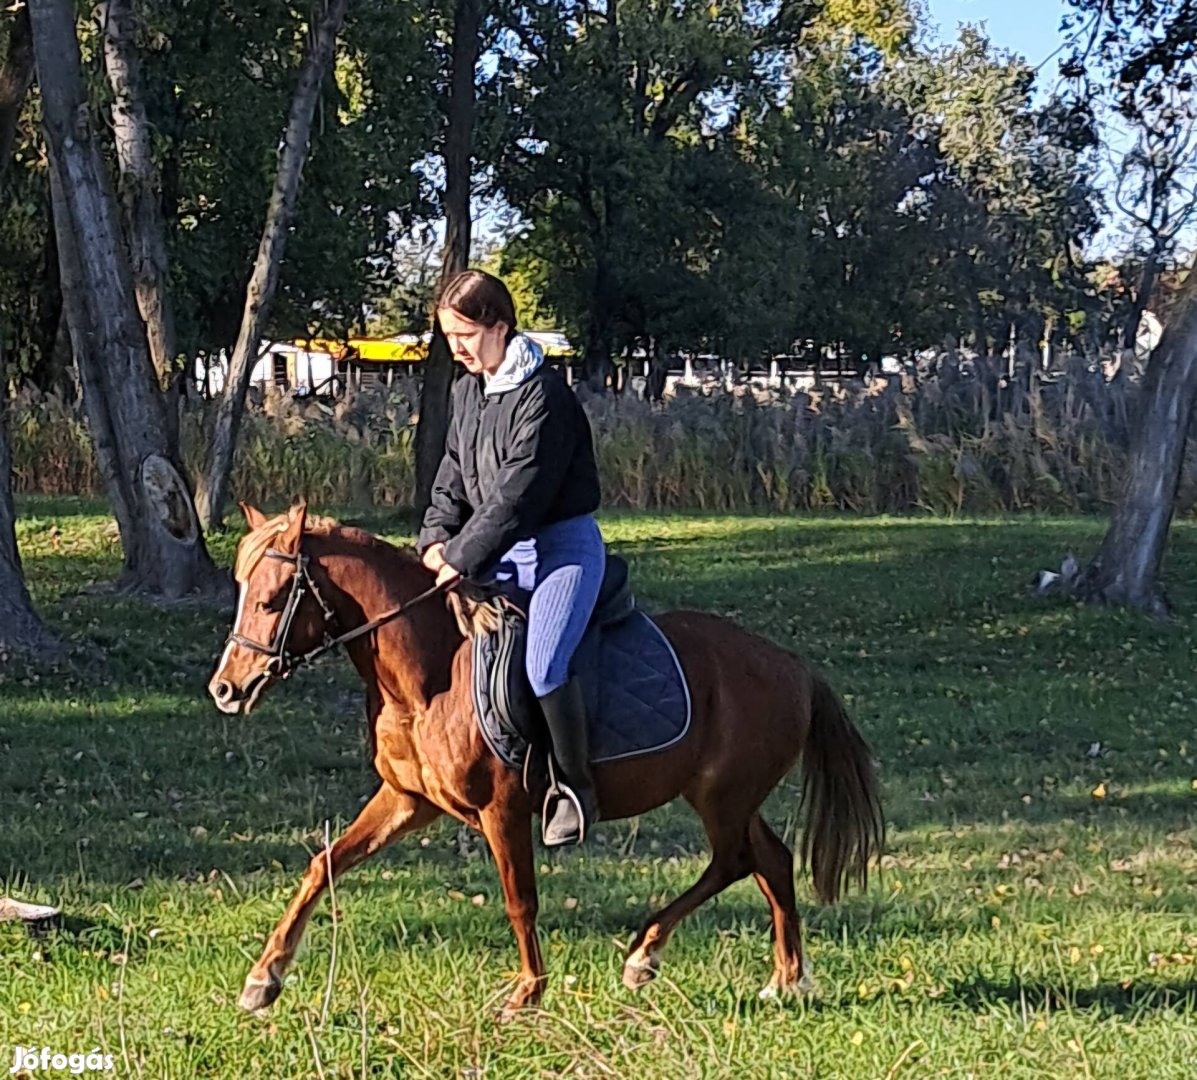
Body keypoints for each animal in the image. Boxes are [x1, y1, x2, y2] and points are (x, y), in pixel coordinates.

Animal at [205, 502, 885, 1020]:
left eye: (272, 600)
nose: (226, 690)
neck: (432, 676)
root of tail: (792, 666)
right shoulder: (408, 801)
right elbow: (322, 866)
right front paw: (263, 980)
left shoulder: (501, 808)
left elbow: (519, 899)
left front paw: (527, 994)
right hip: (729, 797)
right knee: (769, 859)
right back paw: (782, 978)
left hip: (723, 796)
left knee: (739, 860)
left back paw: (649, 956)